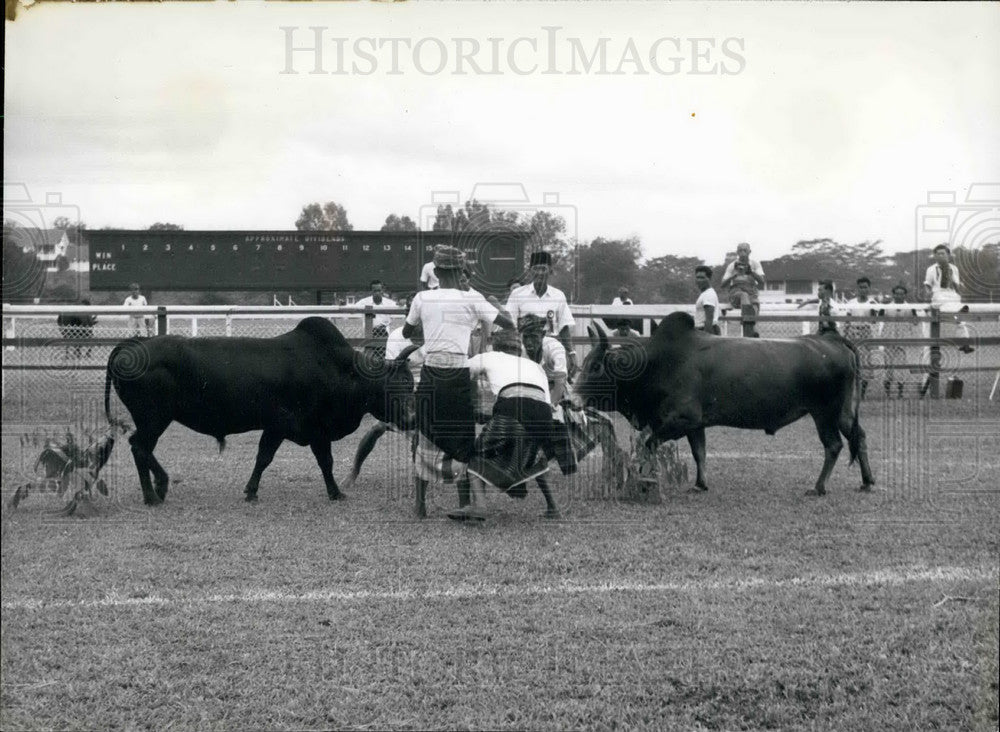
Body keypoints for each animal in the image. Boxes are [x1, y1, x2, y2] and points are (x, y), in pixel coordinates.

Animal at [101, 318, 414, 506]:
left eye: (410, 384)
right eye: (394, 389)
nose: (412, 418)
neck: (338, 369)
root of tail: (135, 343)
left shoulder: (286, 429)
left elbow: (269, 458)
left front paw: (251, 490)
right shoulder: (298, 428)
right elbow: (316, 461)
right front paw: (335, 492)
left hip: (153, 420)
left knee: (140, 448)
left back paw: (159, 486)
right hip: (153, 419)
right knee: (139, 447)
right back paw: (154, 493)